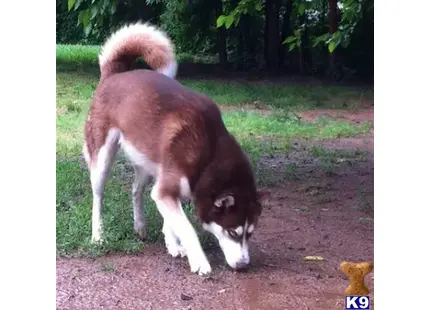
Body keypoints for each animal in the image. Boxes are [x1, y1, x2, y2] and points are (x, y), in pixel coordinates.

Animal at [83, 22, 264, 276]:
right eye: (232, 232)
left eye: (250, 233)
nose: (243, 265)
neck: (209, 154)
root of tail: (114, 74)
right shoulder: (166, 189)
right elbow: (187, 228)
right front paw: (199, 261)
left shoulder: (166, 187)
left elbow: (172, 221)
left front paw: (173, 244)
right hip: (102, 160)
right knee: (98, 197)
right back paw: (98, 235)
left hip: (146, 160)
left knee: (136, 190)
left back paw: (140, 226)